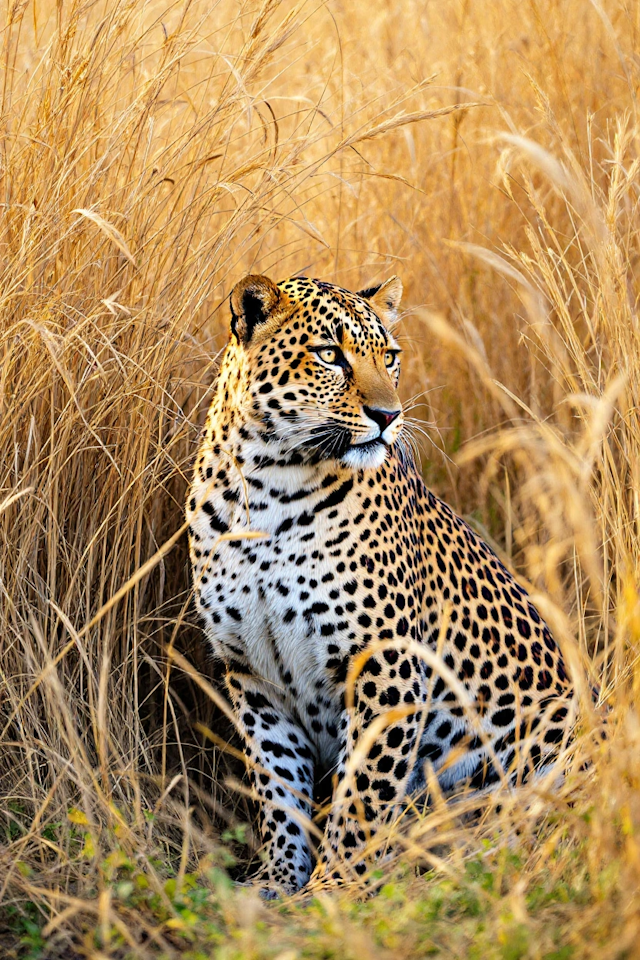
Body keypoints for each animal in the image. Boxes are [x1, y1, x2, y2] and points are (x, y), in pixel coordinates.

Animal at [186, 272, 576, 900]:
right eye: (329, 356)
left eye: (389, 357)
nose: (389, 415)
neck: (270, 483)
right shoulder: (252, 673)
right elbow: (277, 786)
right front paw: (277, 879)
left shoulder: (384, 667)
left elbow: (363, 792)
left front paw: (334, 889)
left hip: (558, 716)